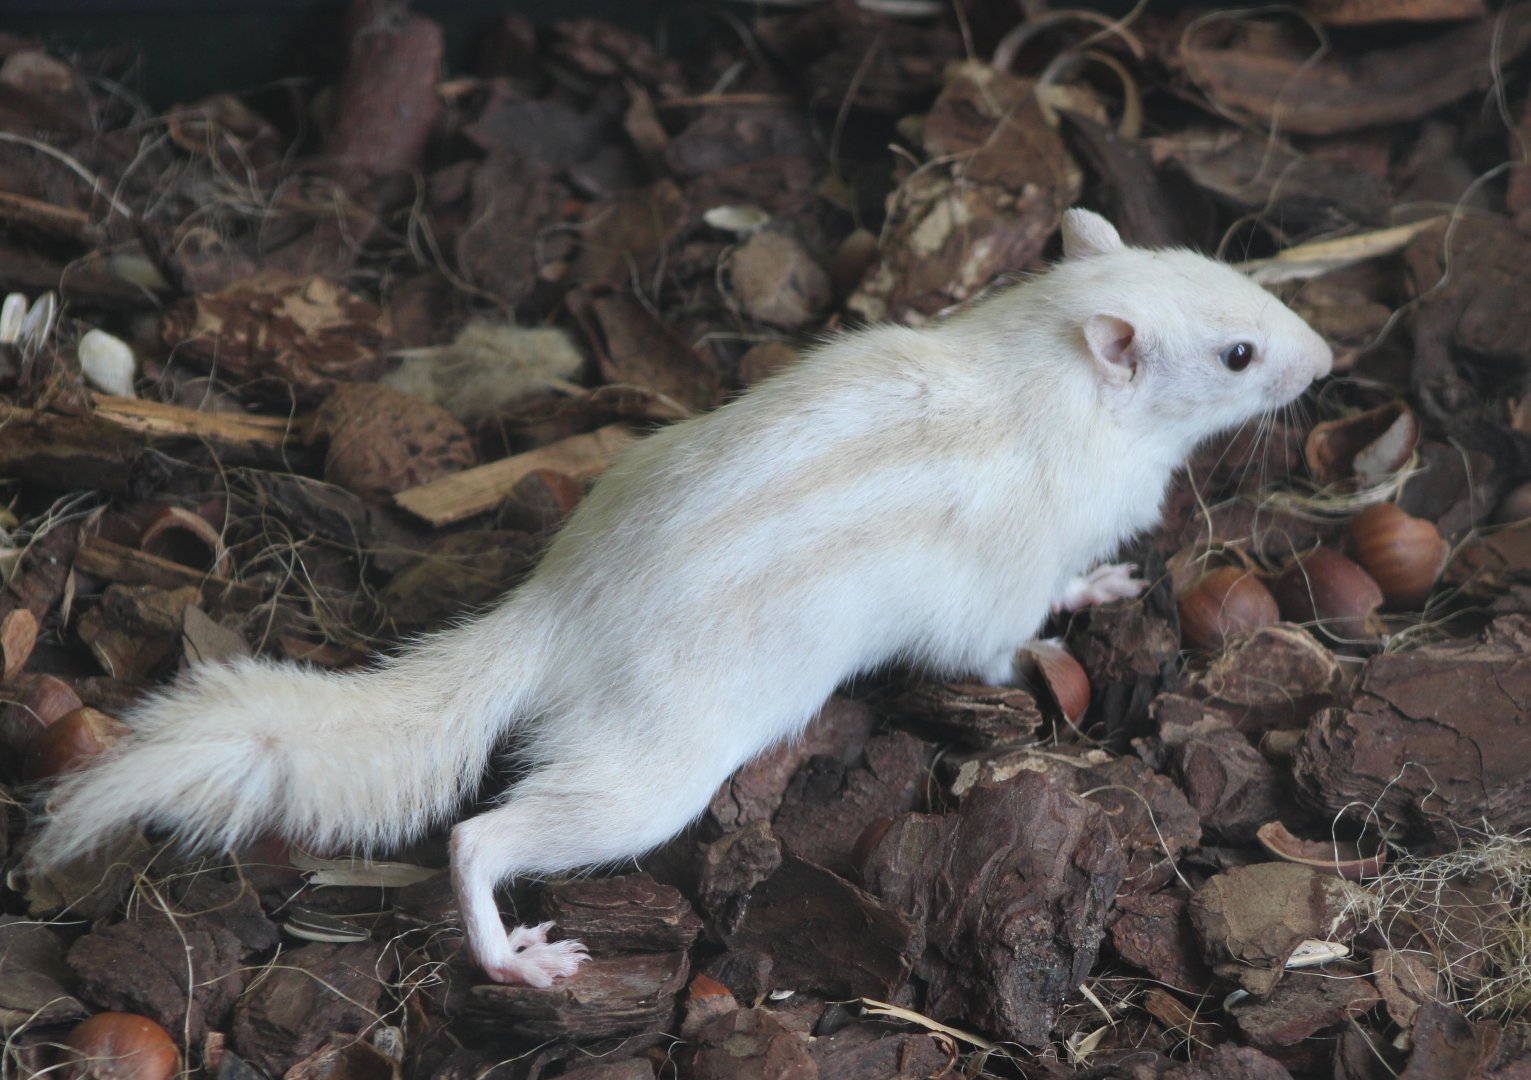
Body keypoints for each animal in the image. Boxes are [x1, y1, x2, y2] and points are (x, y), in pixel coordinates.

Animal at [28, 210, 1333, 985]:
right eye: (1234, 356)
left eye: (1227, 274)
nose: (1326, 357)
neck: (1038, 365)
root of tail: (555, 611)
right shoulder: (995, 585)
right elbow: (998, 642)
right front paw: (1090, 597)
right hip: (648, 775)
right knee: (481, 835)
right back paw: (515, 959)